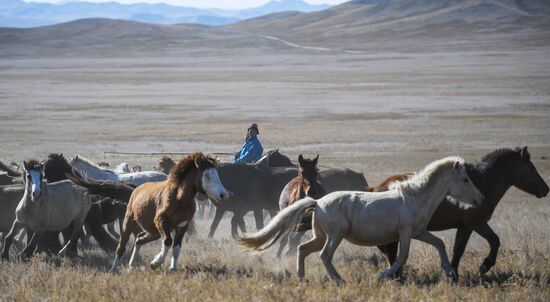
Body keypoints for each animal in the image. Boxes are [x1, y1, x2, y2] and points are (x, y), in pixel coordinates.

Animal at [239, 157, 486, 282]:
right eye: (465, 179)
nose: (480, 199)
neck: (415, 197)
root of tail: (317, 202)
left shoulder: (418, 232)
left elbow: (439, 243)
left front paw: (450, 271)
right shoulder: (406, 232)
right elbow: (402, 257)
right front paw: (383, 275)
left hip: (320, 236)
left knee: (303, 249)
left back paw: (302, 277)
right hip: (335, 235)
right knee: (324, 255)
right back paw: (339, 280)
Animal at [380, 147, 550, 278]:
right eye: (530, 168)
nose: (546, 189)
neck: (484, 183)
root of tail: (379, 187)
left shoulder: (464, 227)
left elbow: (458, 250)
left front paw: (453, 273)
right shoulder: (475, 223)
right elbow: (494, 240)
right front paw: (485, 265)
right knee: (390, 252)